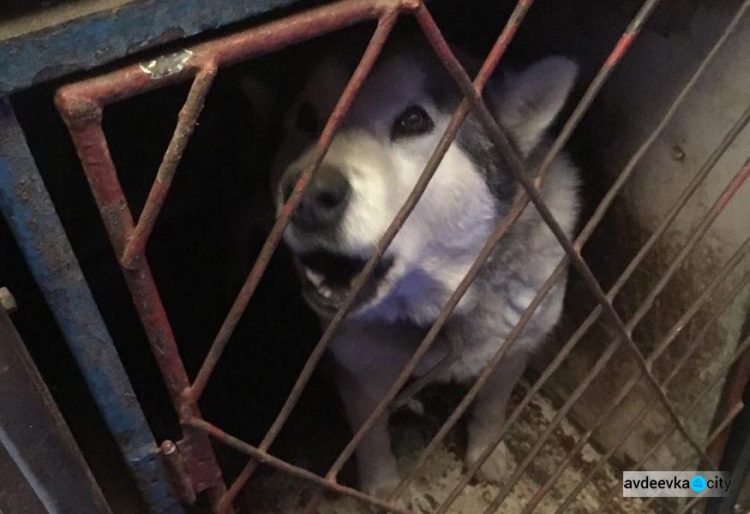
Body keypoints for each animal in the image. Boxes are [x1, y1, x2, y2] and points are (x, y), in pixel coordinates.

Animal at [268, 37, 584, 496]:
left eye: (413, 120)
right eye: (307, 119)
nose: (307, 196)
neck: (441, 309)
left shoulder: (516, 345)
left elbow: (491, 404)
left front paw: (486, 453)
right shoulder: (360, 369)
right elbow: (372, 438)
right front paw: (381, 486)